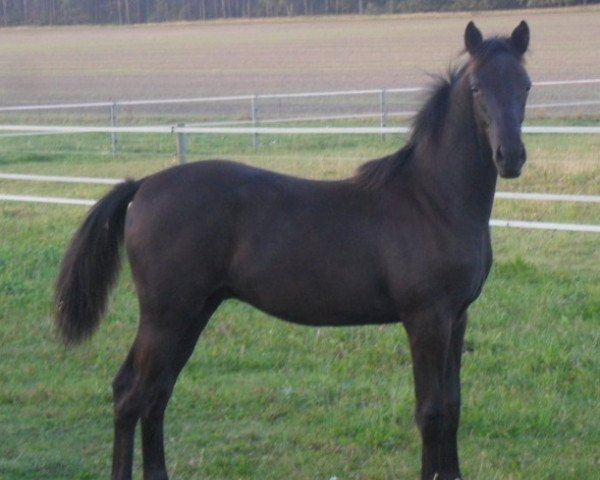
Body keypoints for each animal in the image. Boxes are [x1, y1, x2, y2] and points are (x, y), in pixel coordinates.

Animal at [56, 21, 528, 480]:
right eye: (476, 88)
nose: (510, 157)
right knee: (132, 394)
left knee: (156, 393)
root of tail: (144, 185)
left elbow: (452, 406)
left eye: (524, 85)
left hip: (192, 312)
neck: (431, 200)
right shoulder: (426, 319)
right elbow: (430, 412)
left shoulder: (456, 317)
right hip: (166, 315)